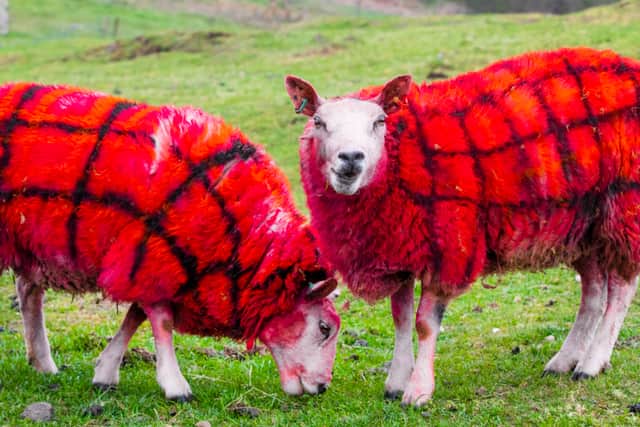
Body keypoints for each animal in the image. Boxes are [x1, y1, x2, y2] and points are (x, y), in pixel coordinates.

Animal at [0, 82, 340, 401]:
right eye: (324, 327)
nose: (323, 387)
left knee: (28, 292)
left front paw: (105, 371)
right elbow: (160, 322)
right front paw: (176, 385)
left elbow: (136, 315)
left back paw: (43, 363)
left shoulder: (155, 265)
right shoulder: (150, 255)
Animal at [286, 47, 640, 406]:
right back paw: (566, 360)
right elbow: (400, 317)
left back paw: (592, 362)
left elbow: (425, 323)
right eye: (318, 122)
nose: (351, 158)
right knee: (593, 291)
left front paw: (418, 390)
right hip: (584, 225)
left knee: (621, 288)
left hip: (624, 207)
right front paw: (396, 382)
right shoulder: (399, 248)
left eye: (379, 121)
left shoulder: (450, 247)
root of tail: (627, 63)